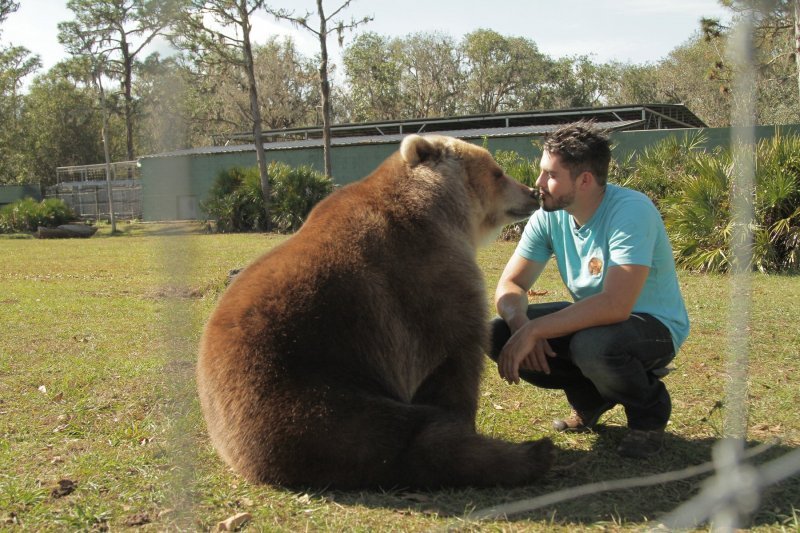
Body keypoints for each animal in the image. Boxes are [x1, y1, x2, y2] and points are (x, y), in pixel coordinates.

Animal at [197, 135, 552, 488]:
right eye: (498, 172)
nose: (532, 192)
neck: (445, 212)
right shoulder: (427, 281)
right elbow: (453, 361)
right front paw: (468, 422)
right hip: (314, 391)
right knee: (407, 439)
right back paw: (530, 453)